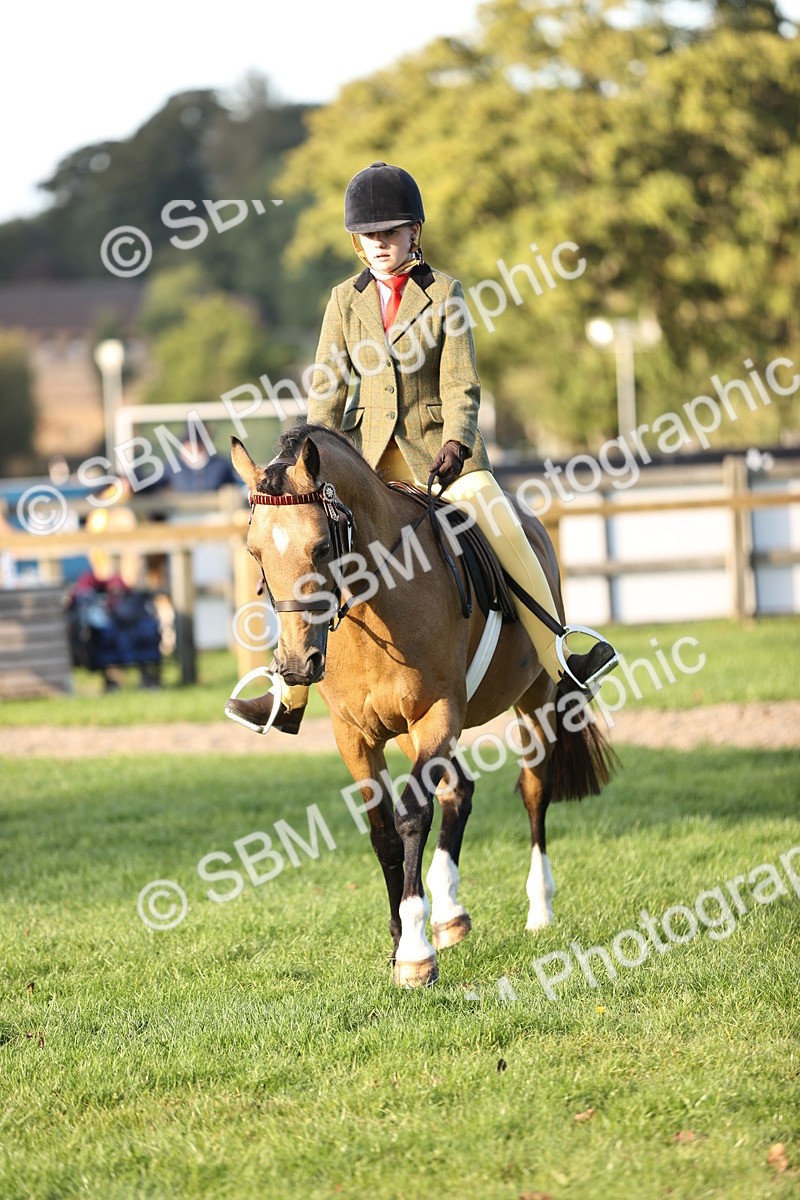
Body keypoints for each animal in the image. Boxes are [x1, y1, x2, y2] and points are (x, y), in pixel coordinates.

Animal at [231, 424, 616, 987]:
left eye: (321, 548)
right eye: (256, 552)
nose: (298, 666)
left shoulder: (437, 713)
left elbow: (413, 815)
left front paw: (414, 952)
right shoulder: (356, 735)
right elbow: (384, 833)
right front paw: (398, 942)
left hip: (534, 703)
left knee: (533, 792)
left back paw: (539, 908)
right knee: (459, 792)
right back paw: (449, 913)